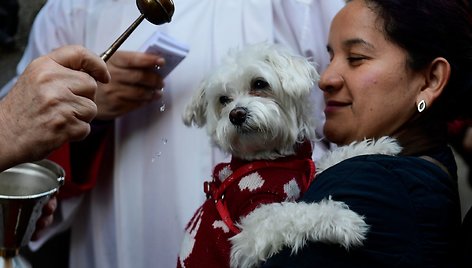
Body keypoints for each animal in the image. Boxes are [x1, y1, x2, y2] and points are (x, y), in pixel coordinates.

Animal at [177, 44, 398, 268]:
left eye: (259, 83)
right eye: (223, 99)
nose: (236, 114)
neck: (273, 158)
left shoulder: (303, 170)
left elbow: (326, 162)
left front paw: (376, 147)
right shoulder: (251, 229)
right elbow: (291, 214)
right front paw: (339, 219)